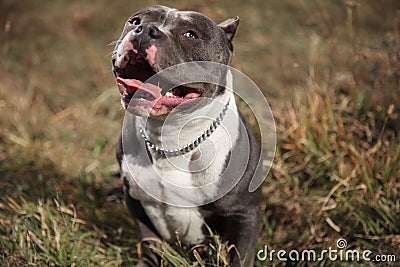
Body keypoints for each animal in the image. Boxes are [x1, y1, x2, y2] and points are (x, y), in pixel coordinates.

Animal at [112, 5, 262, 266]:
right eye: (135, 21)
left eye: (190, 34)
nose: (145, 30)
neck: (171, 140)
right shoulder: (136, 201)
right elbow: (149, 243)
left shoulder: (245, 214)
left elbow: (240, 256)